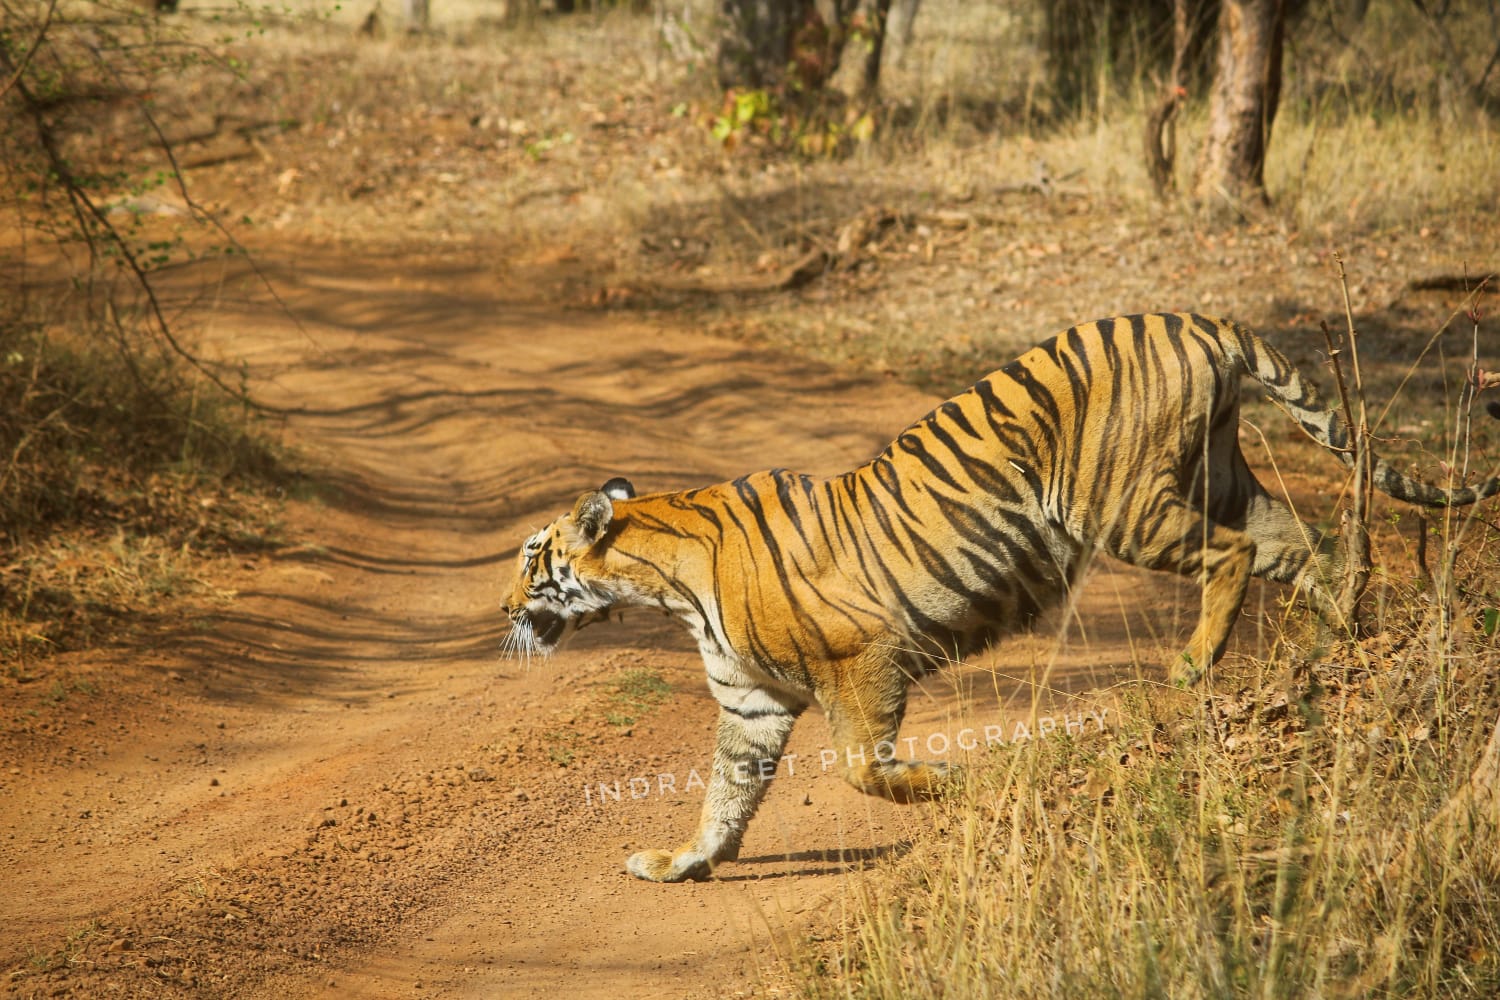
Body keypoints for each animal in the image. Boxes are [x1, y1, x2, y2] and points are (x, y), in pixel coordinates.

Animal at [498, 313, 1494, 881]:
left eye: (532, 556)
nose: (503, 610)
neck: (666, 584)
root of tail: (1186, 314)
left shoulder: (862, 655)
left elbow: (859, 767)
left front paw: (952, 786)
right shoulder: (753, 701)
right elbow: (726, 793)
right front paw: (683, 862)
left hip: (1119, 503)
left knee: (1238, 553)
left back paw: (1195, 662)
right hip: (1215, 471)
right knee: (1300, 541)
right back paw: (1343, 638)